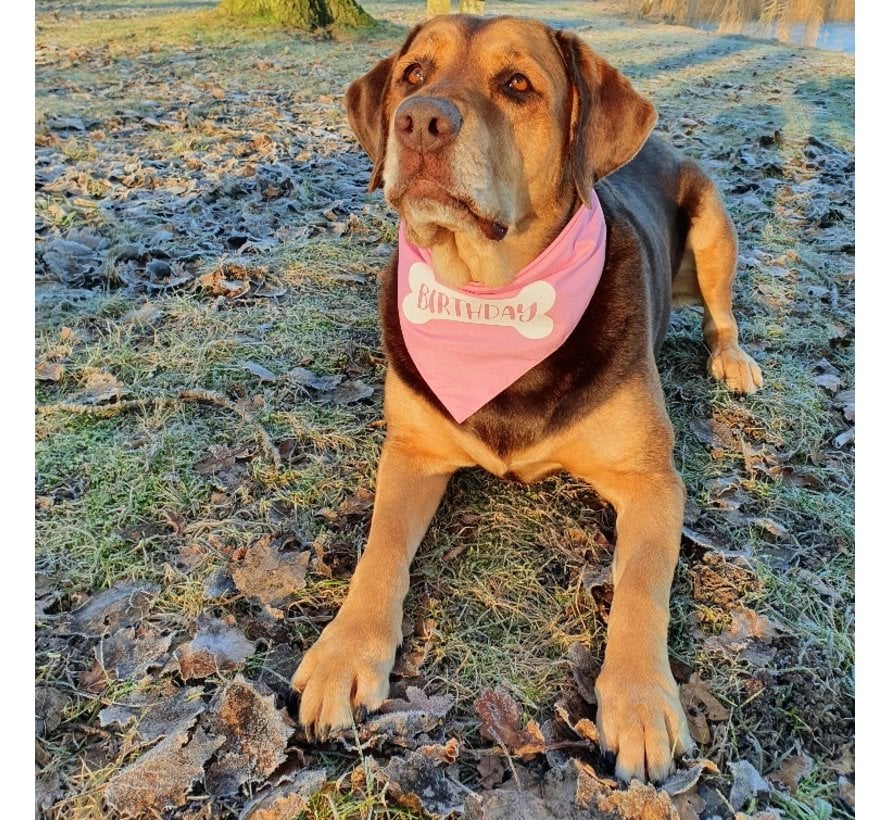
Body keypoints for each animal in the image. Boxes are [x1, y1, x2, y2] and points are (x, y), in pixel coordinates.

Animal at [288, 12, 760, 780]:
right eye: (414, 74)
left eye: (517, 85)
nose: (419, 122)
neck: (490, 301)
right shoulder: (412, 451)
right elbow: (379, 548)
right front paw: (343, 651)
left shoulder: (651, 480)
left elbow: (639, 586)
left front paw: (639, 700)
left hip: (714, 224)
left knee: (723, 312)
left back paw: (734, 360)